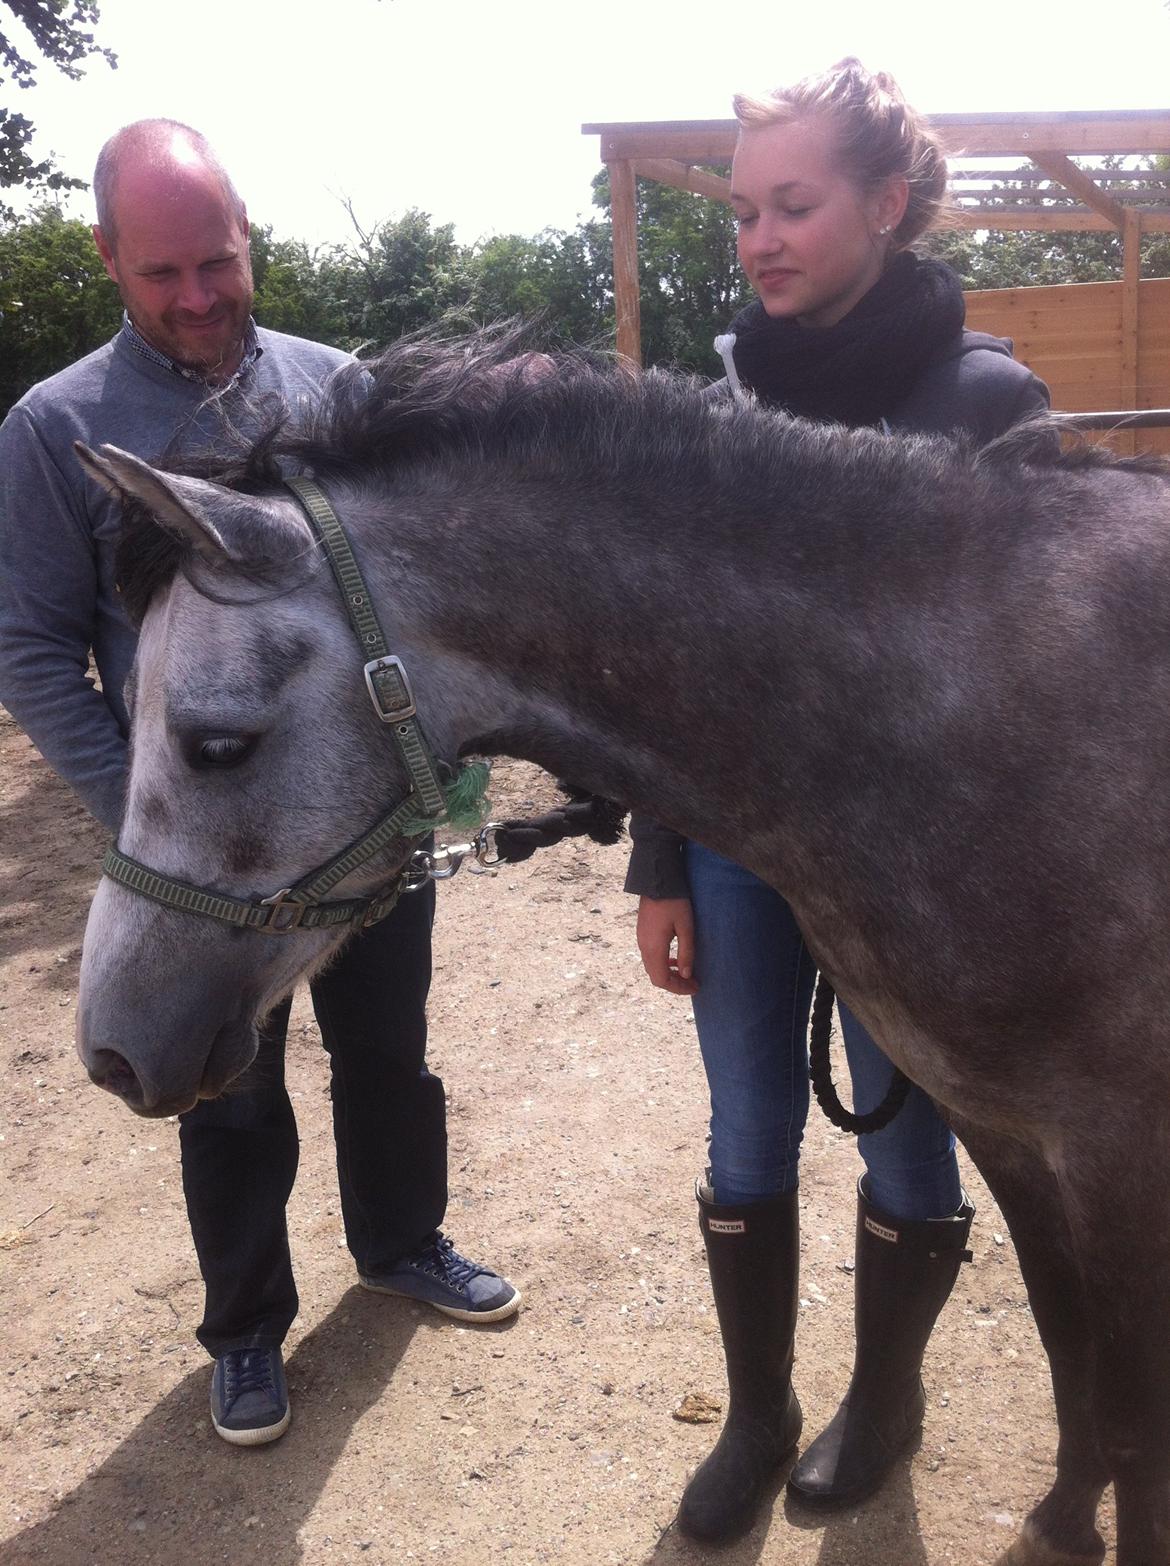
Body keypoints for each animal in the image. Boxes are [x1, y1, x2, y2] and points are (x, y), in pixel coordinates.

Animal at [73, 330, 1170, 1566]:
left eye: (217, 743)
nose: (111, 1049)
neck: (979, 722)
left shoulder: (1119, 1152)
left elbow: (1137, 1421)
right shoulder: (1009, 1131)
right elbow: (1072, 1352)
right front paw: (1062, 1529)